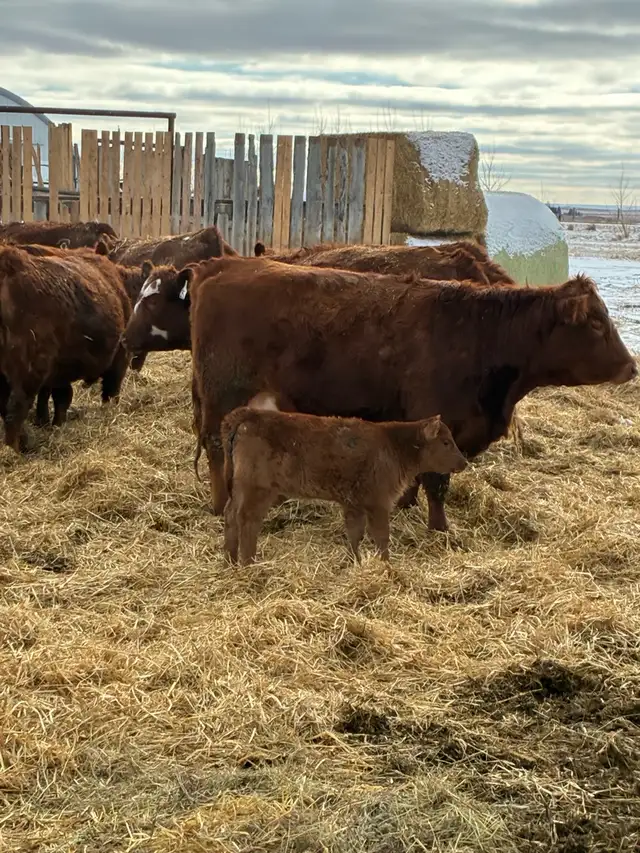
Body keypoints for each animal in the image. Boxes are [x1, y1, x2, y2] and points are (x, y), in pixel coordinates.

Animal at [185, 256, 637, 530]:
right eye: (597, 323)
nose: (632, 366)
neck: (484, 336)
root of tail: (225, 264)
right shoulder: (444, 420)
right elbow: (436, 480)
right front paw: (441, 529)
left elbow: (418, 470)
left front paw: (406, 505)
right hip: (222, 395)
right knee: (216, 449)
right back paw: (220, 504)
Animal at [221, 399, 467, 565]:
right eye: (446, 442)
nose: (464, 462)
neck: (394, 445)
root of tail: (248, 415)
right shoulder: (379, 503)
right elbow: (381, 536)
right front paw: (386, 566)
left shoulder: (353, 504)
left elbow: (355, 534)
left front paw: (354, 561)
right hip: (257, 490)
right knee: (248, 520)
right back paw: (249, 564)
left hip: (242, 489)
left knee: (231, 515)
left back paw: (230, 561)